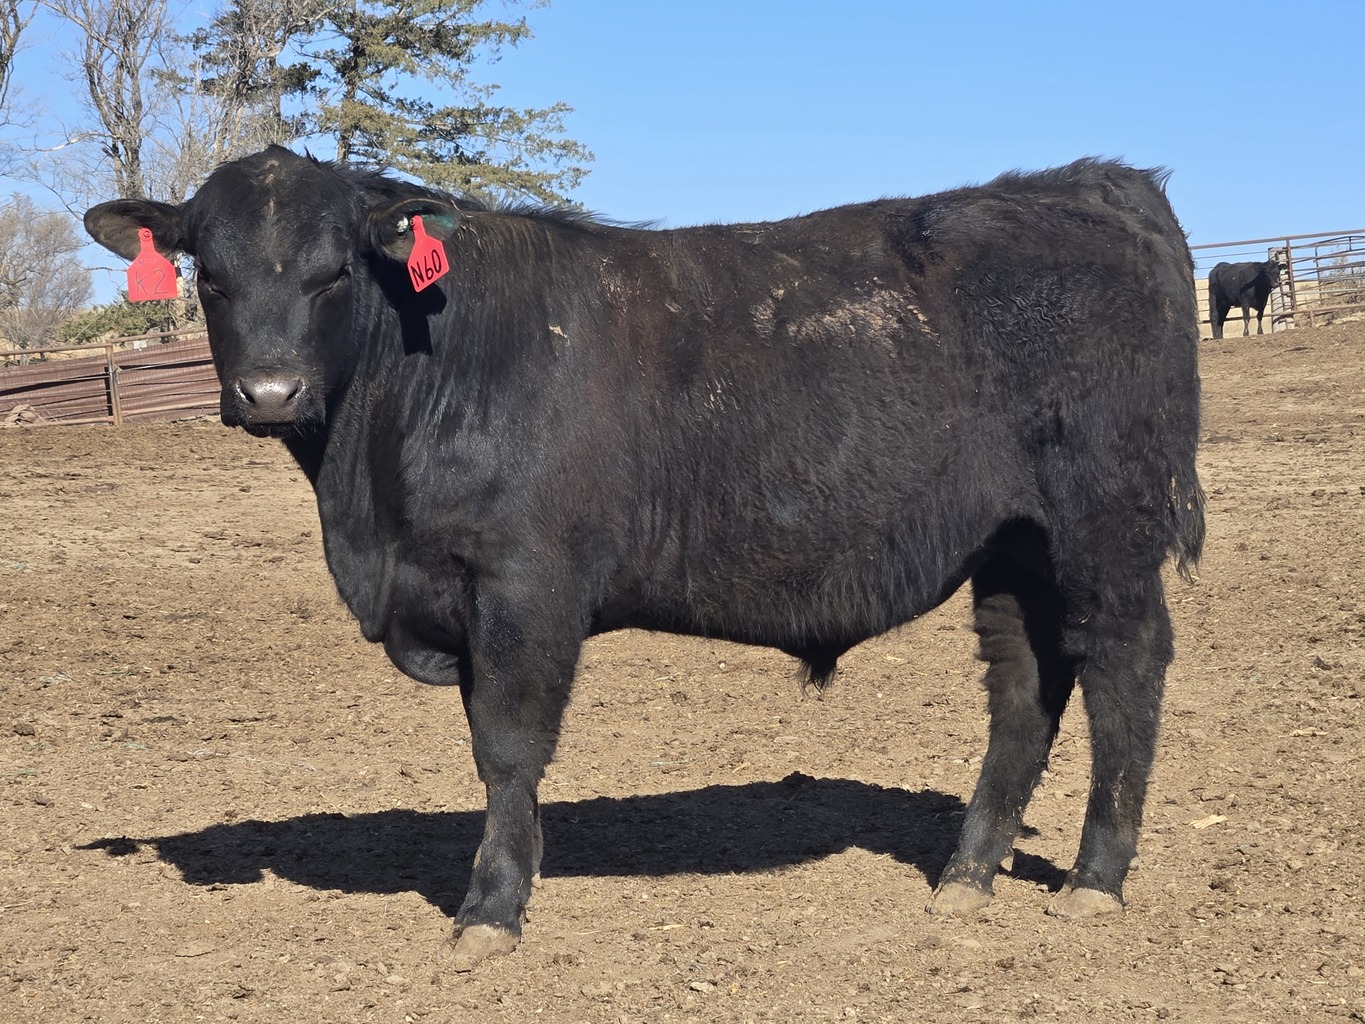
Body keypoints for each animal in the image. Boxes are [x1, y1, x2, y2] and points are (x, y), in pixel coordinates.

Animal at [85, 148, 1205, 969]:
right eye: (210, 275)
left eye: (331, 272)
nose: (270, 392)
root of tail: (1091, 181)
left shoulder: (524, 585)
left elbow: (507, 746)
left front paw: (491, 908)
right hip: (1012, 546)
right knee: (1025, 685)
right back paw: (966, 874)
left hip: (1103, 524)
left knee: (1126, 665)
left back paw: (1094, 880)